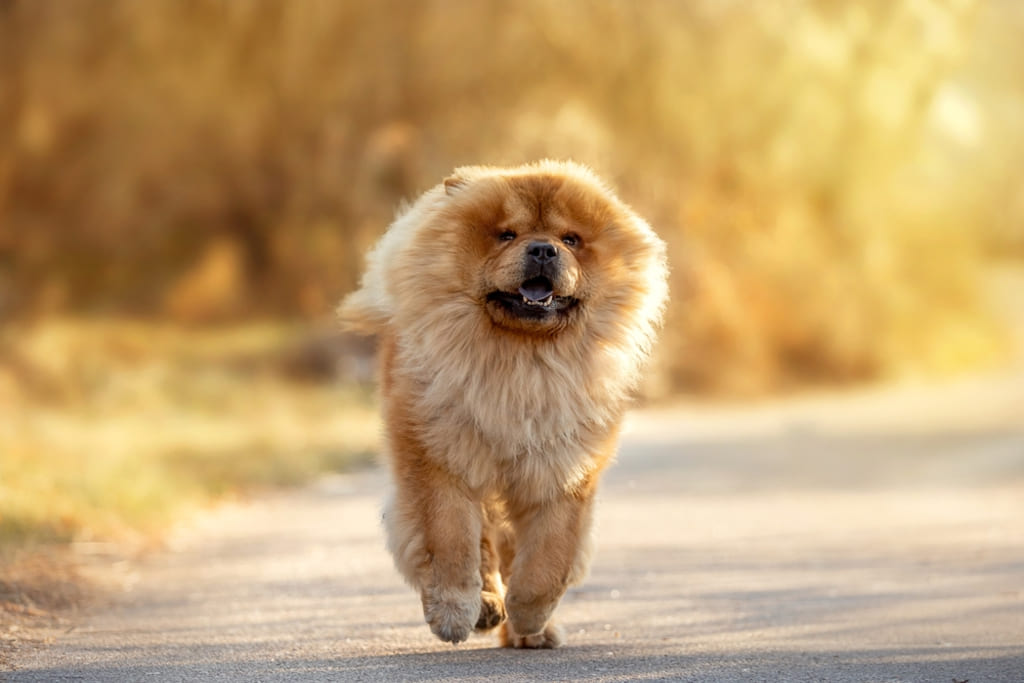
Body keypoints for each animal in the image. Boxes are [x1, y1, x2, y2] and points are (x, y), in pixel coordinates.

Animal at [339, 161, 667, 651]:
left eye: (571, 239)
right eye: (507, 235)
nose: (544, 249)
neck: (518, 365)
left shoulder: (561, 470)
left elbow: (549, 558)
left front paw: (530, 616)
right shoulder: (439, 456)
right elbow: (450, 541)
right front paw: (454, 613)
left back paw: (529, 631)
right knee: (483, 546)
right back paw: (486, 609)